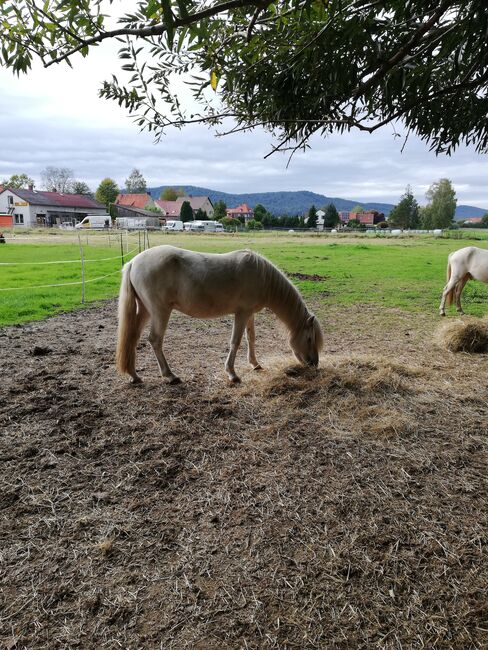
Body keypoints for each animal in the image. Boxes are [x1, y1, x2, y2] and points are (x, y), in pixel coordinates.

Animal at [116, 246, 324, 382]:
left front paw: (255, 364)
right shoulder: (242, 313)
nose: (314, 363)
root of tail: (133, 262)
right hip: (160, 311)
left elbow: (251, 338)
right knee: (155, 340)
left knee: (132, 337)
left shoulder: (250, 314)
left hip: (145, 310)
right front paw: (232, 373)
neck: (263, 277)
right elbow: (236, 341)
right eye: (309, 339)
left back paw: (134, 375)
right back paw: (169, 375)